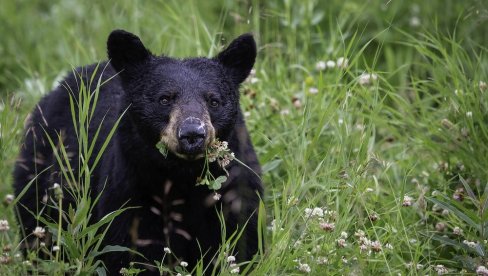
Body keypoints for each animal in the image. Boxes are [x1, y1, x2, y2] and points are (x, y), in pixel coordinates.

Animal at [12, 29, 264, 274]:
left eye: (213, 101)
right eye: (165, 99)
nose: (192, 133)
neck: (182, 176)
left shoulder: (235, 189)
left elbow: (241, 241)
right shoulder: (130, 190)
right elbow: (131, 251)